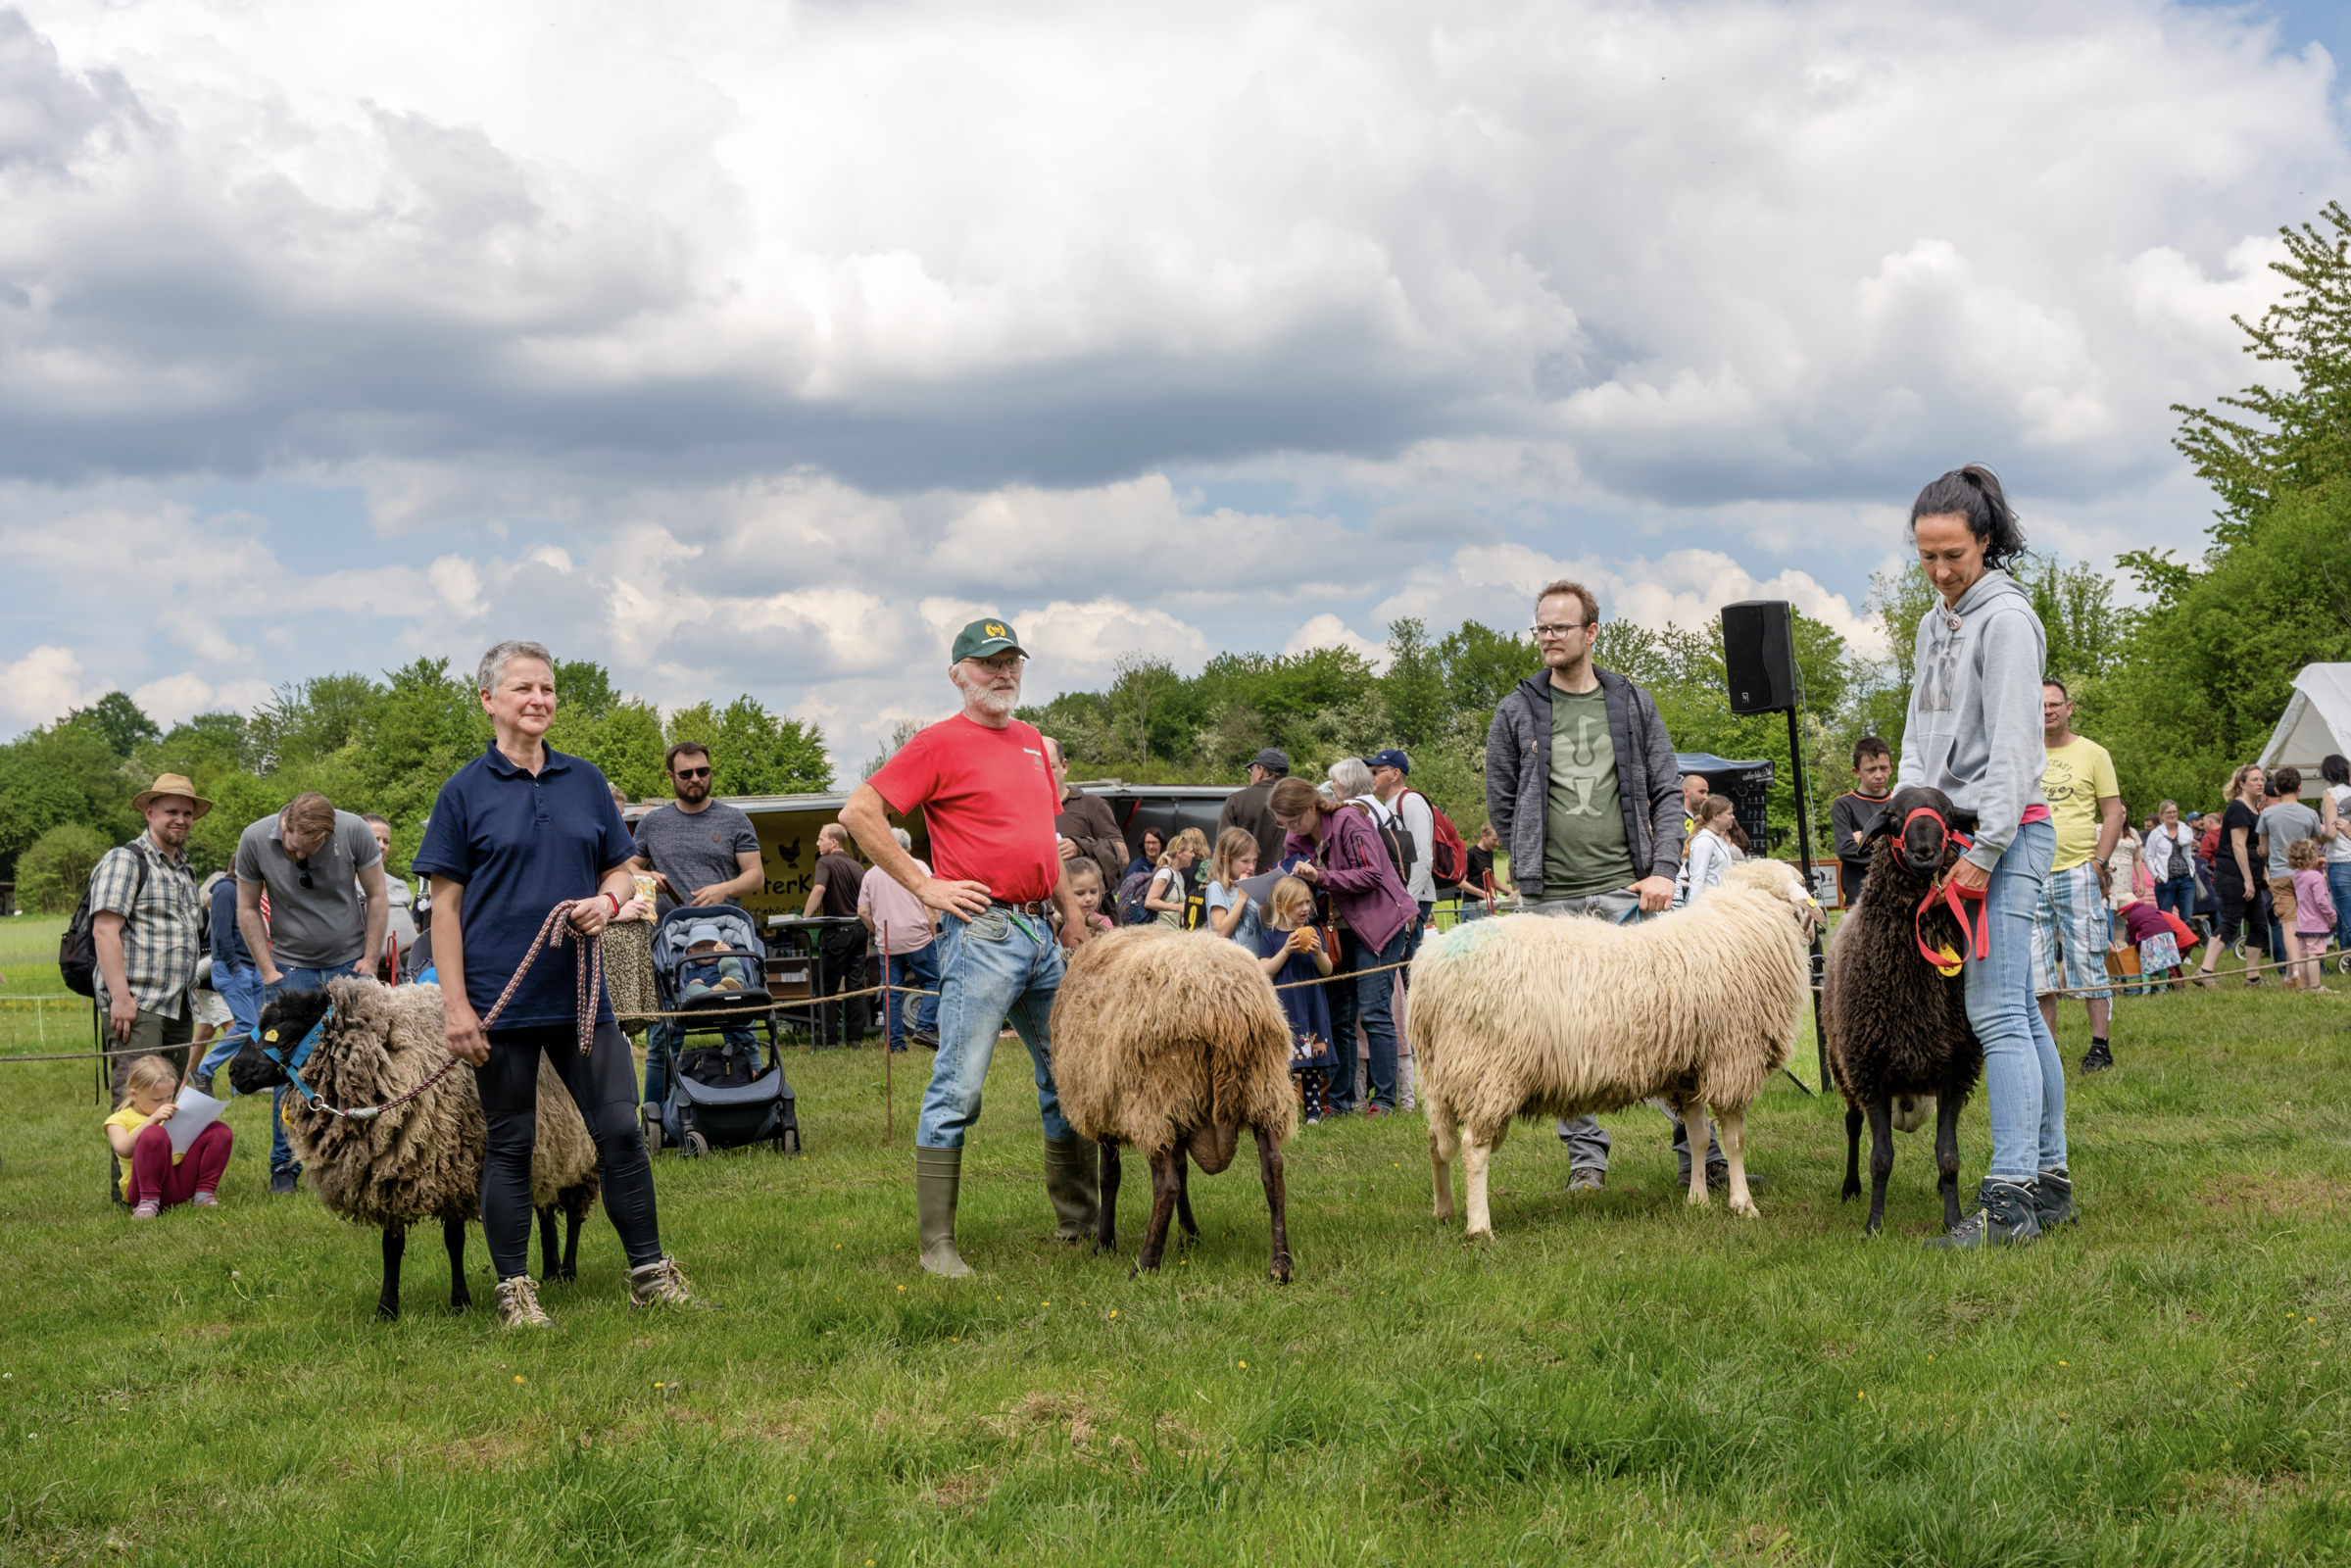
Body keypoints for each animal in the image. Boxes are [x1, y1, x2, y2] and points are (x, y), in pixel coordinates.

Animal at [225, 982, 602, 1325]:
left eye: (276, 1031)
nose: (232, 1071)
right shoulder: (386, 1173)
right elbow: (391, 1248)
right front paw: (386, 1309)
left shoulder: (452, 1165)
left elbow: (454, 1240)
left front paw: (460, 1302)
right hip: (550, 1151)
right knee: (545, 1210)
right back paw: (550, 1271)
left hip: (585, 1159)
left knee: (574, 1215)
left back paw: (567, 1271)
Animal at [1053, 926, 1306, 1278]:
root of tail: (1226, 1004)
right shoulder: (1181, 1114)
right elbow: (1184, 1171)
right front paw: (1190, 1235)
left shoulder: (1107, 1112)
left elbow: (1110, 1177)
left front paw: (1104, 1244)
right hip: (1263, 1090)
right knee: (1273, 1174)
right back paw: (1281, 1264)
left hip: (1155, 1100)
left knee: (1166, 1185)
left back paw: (1146, 1264)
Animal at [1400, 859, 1824, 1241]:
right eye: (1802, 885)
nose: (1818, 922)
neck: (1745, 922)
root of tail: (1429, 967)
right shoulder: (1733, 1057)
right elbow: (1735, 1140)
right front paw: (1743, 1203)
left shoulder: (1688, 1070)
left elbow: (1699, 1137)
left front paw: (1698, 1200)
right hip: (1489, 1070)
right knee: (1473, 1149)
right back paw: (1479, 1227)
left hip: (1441, 1075)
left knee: (1436, 1141)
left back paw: (1444, 1210)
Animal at [1815, 785, 1984, 1241]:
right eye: (1892, 817)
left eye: (1948, 815)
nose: (1924, 852)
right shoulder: (1872, 1071)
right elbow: (1881, 1158)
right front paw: (1874, 1225)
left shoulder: (1955, 1070)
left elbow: (1948, 1155)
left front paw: (1953, 1221)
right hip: (1844, 1065)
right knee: (1853, 1126)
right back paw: (1849, 1187)